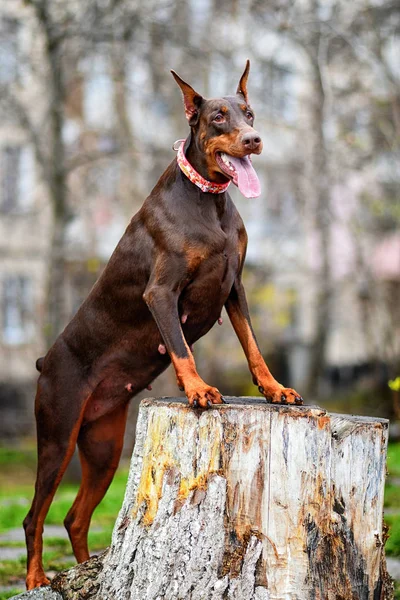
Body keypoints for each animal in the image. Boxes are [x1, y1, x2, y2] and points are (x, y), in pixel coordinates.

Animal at [23, 62, 302, 592]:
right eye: (218, 116)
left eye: (250, 112)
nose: (254, 140)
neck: (209, 202)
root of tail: (45, 360)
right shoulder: (161, 292)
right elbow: (180, 345)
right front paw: (197, 389)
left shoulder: (235, 287)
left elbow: (253, 345)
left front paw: (275, 389)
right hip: (58, 433)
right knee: (35, 517)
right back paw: (35, 581)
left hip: (104, 443)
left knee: (74, 516)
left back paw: (89, 568)